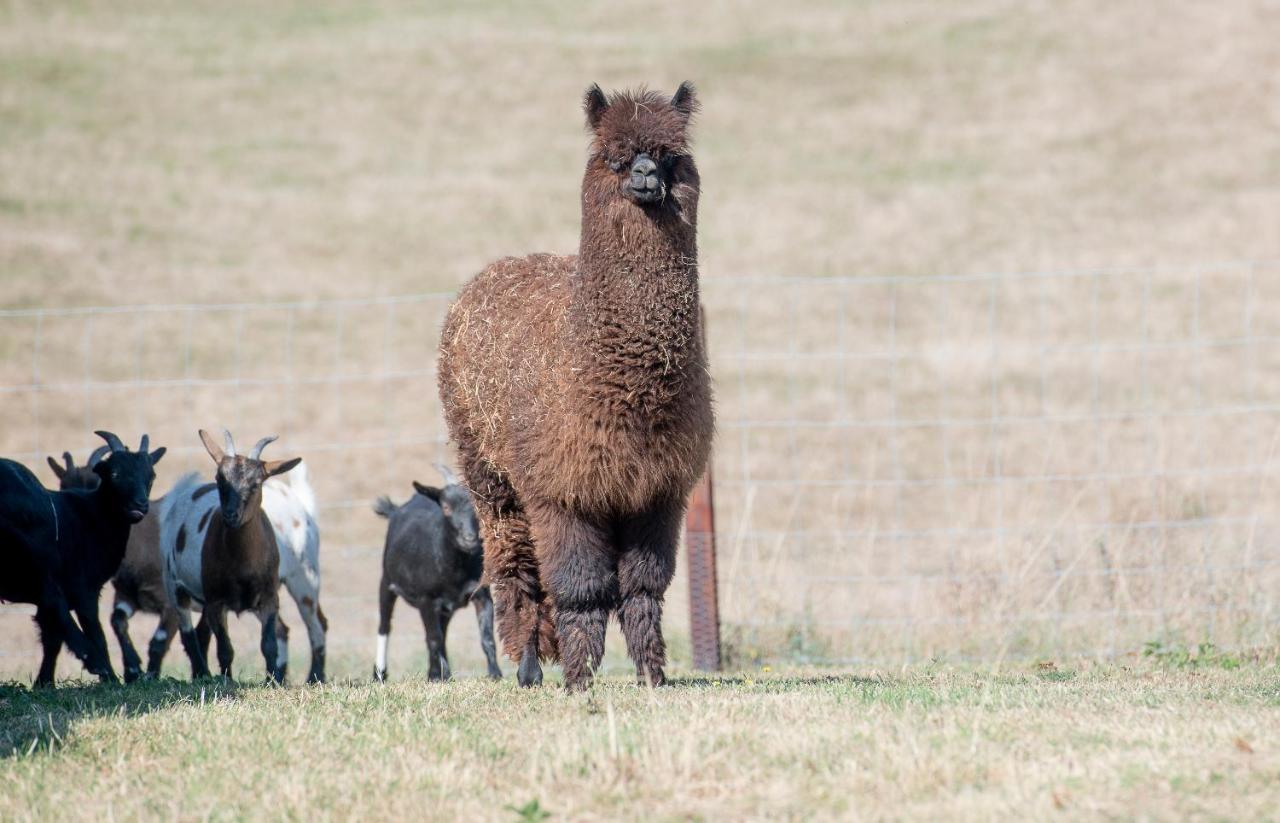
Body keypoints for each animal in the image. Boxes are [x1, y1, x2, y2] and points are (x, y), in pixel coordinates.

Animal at [0, 435, 165, 686]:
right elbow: (94, 629)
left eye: (151, 475)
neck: (92, 514)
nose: (140, 505)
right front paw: (110, 677)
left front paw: (44, 682)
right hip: (33, 555)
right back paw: (94, 660)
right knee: (53, 598)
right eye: (114, 473)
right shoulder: (84, 587)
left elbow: (51, 638)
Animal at [157, 427, 299, 686]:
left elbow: (269, 644)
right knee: (188, 635)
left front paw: (272, 680)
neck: (242, 566)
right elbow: (225, 648)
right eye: (219, 478)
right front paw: (226, 680)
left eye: (256, 483)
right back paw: (202, 673)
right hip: (174, 585)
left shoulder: (269, 597)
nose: (232, 515)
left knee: (201, 633)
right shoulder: (216, 601)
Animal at [371, 465, 499, 686]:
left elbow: (487, 637)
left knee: (442, 632)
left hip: (445, 609)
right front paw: (439, 676)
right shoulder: (426, 599)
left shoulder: (481, 594)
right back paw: (380, 674)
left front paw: (495, 674)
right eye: (446, 507)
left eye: (479, 506)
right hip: (386, 582)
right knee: (385, 625)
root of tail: (396, 510)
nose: (469, 539)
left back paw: (439, 673)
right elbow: (433, 639)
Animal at [437, 83, 716, 691]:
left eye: (668, 156)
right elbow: (581, 587)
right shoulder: (565, 487)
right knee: (517, 568)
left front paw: (651, 675)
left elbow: (642, 587)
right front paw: (580, 678)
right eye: (615, 157)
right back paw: (527, 666)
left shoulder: (656, 490)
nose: (645, 176)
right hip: (489, 472)